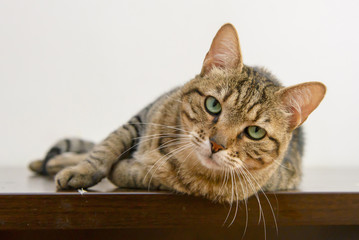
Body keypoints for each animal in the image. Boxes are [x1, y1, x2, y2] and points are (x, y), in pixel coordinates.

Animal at [28, 23, 326, 203]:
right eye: (213, 105)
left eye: (255, 132)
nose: (216, 144)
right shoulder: (142, 116)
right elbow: (106, 147)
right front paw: (82, 170)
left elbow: (147, 175)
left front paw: (128, 169)